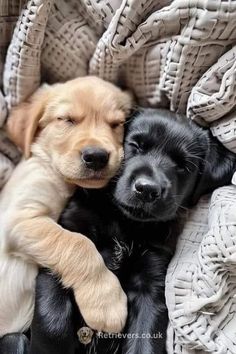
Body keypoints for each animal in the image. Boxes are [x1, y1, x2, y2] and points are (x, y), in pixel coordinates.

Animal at [0, 76, 133, 336]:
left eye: (116, 124)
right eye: (67, 119)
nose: (97, 156)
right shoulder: (18, 219)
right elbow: (77, 243)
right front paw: (105, 301)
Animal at [6, 108, 236, 354]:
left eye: (184, 165)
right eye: (135, 145)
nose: (147, 189)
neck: (123, 223)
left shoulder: (151, 281)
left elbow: (145, 340)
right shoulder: (60, 251)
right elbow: (53, 320)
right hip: (13, 338)